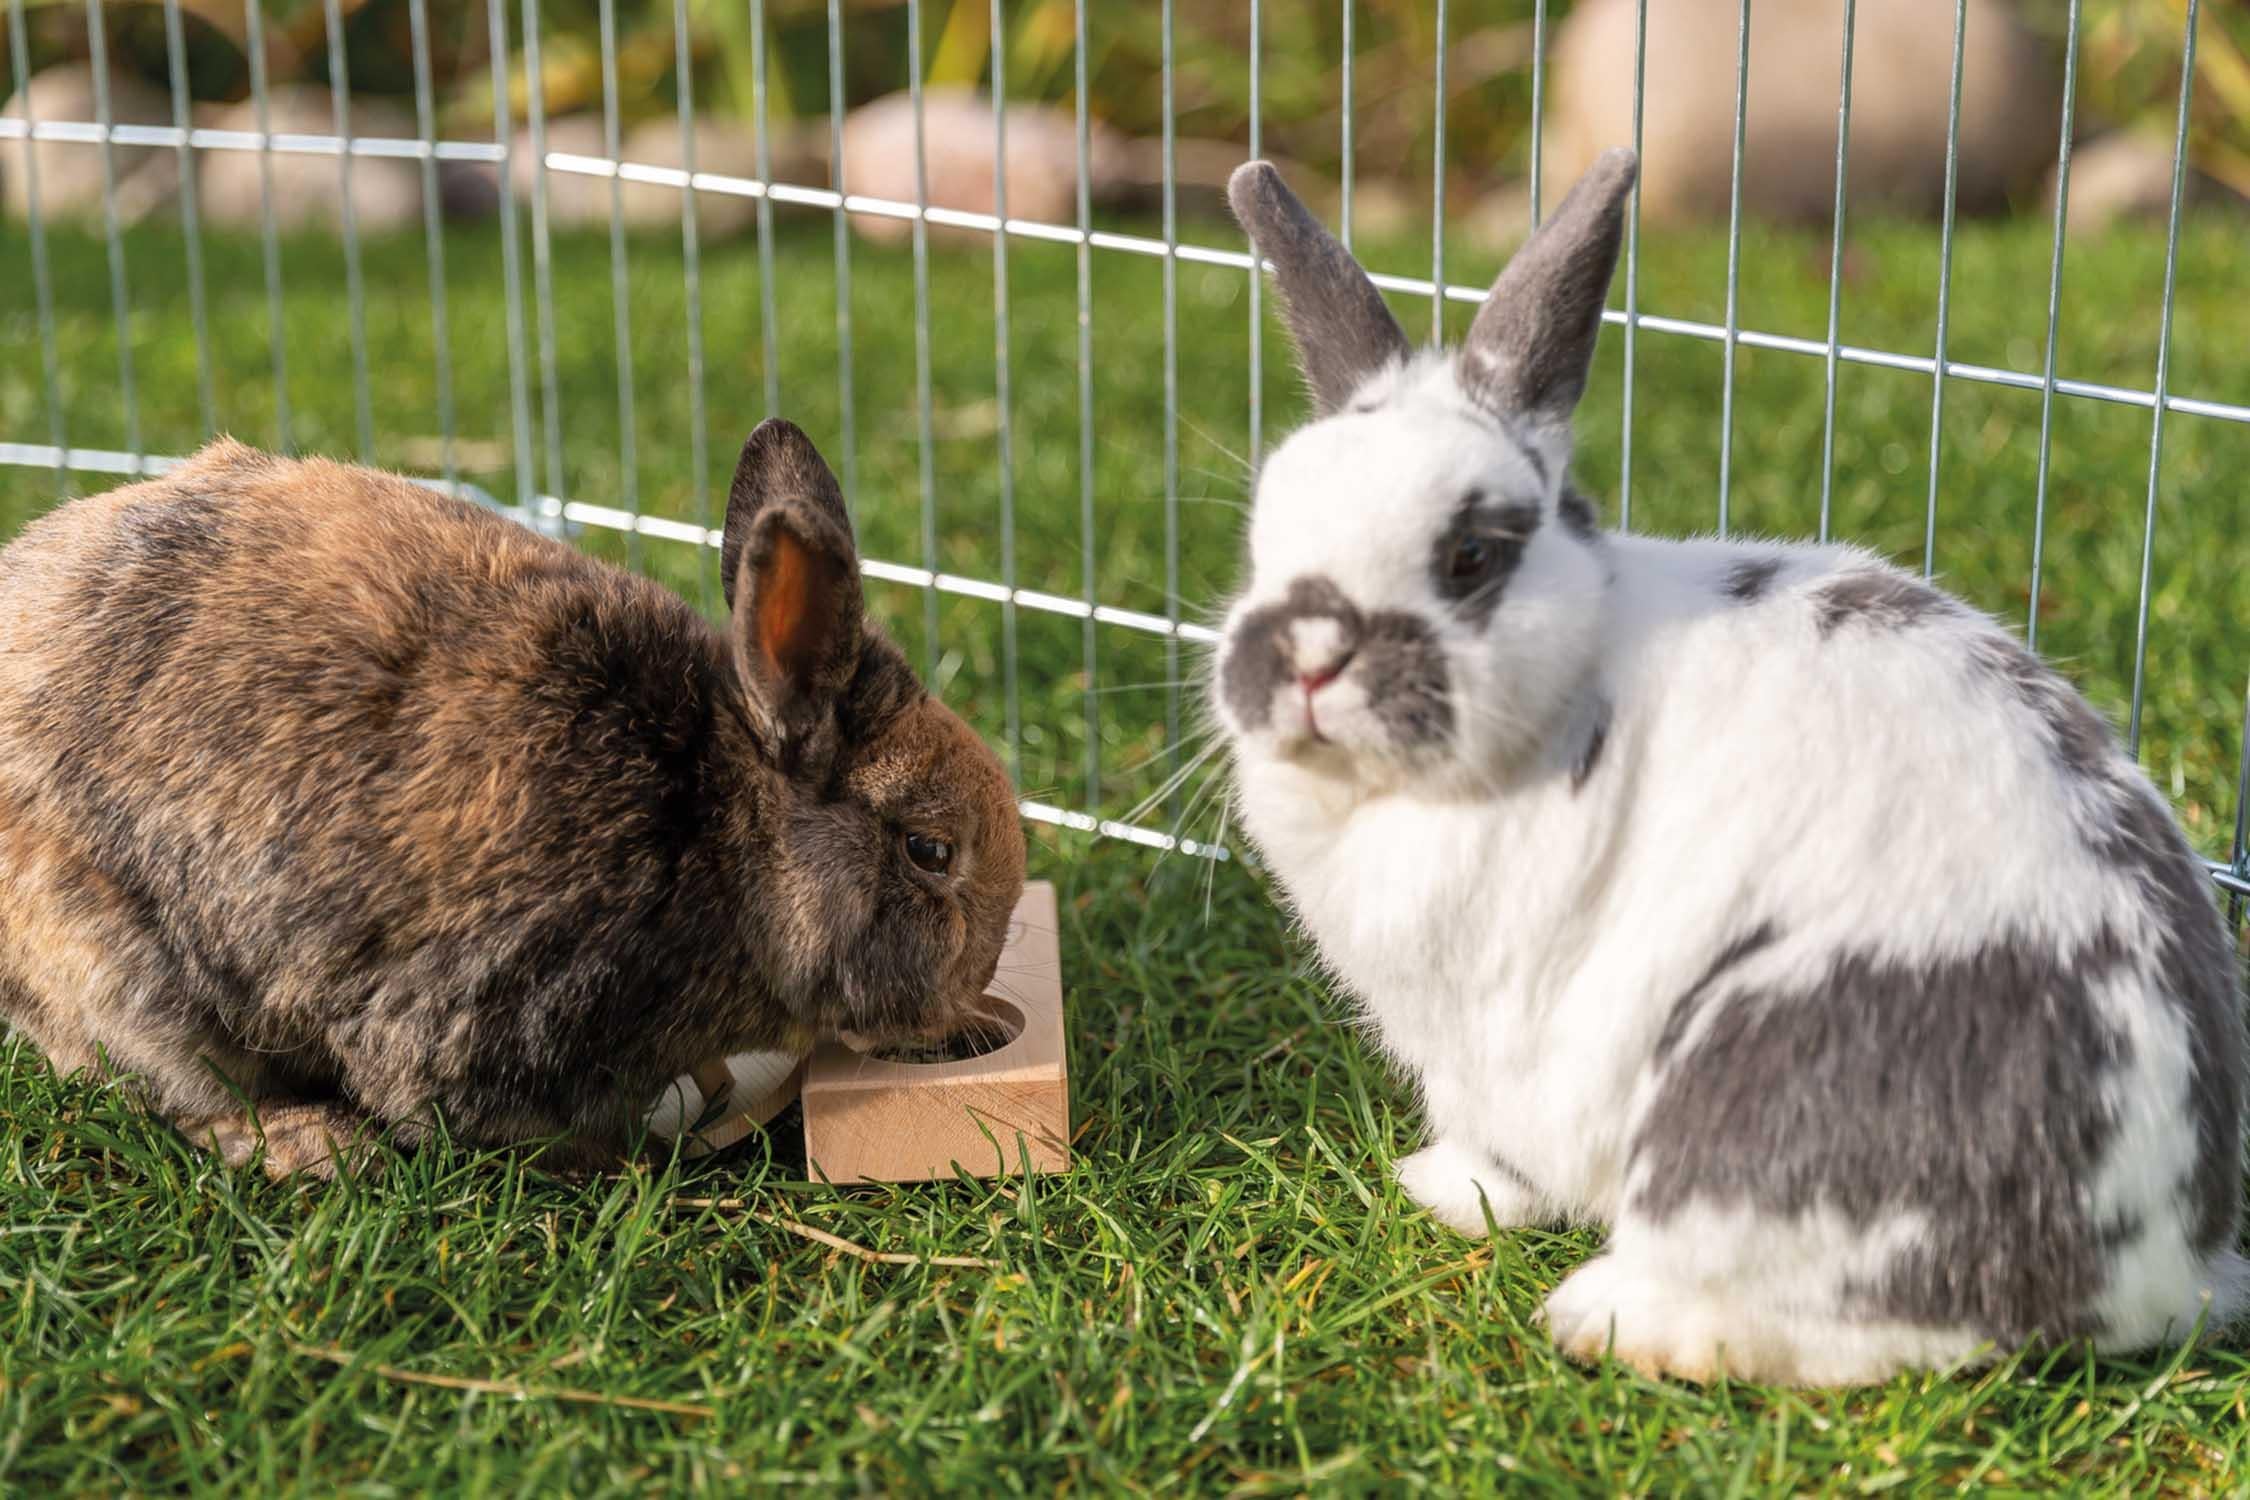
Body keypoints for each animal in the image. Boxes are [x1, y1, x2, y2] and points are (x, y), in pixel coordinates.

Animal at [0, 420, 1026, 1169]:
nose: (971, 995)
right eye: (930, 851)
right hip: (120, 972)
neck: (722, 834)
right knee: (189, 1092)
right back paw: (314, 1145)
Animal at [1224, 152, 2241, 1385]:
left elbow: (1509, 1159)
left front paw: (1447, 1194)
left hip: (1766, 1096)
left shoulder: (1501, 1041)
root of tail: (2168, 1268)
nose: (1309, 656)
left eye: (1468, 555)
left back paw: (1612, 1317)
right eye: (1263, 535)